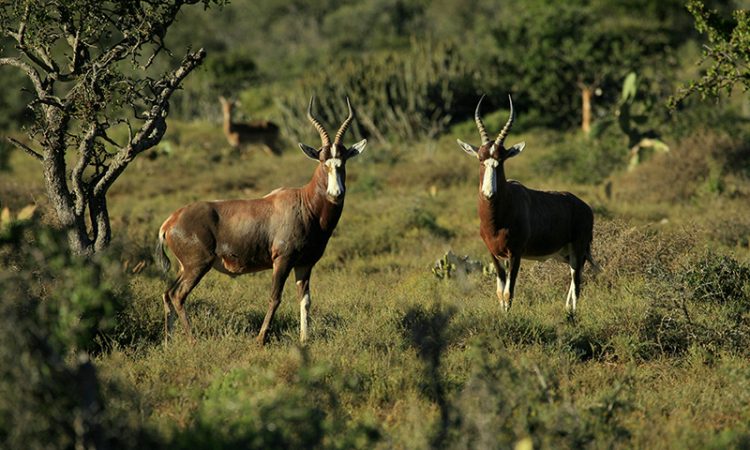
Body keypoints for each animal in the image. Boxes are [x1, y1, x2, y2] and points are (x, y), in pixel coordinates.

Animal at [157, 97, 368, 344]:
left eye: (342, 161)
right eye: (322, 161)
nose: (336, 194)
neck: (304, 203)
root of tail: (170, 222)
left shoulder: (305, 264)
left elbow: (305, 300)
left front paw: (304, 339)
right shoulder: (282, 260)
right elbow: (275, 297)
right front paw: (260, 339)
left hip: (185, 267)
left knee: (167, 293)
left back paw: (169, 341)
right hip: (196, 266)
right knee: (178, 295)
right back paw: (192, 341)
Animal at [456, 95, 604, 312]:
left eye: (501, 161)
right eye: (480, 159)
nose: (489, 193)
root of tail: (585, 208)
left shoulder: (515, 253)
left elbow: (509, 293)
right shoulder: (494, 254)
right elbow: (500, 292)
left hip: (579, 247)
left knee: (577, 281)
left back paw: (572, 315)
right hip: (564, 253)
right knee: (574, 277)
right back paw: (566, 310)